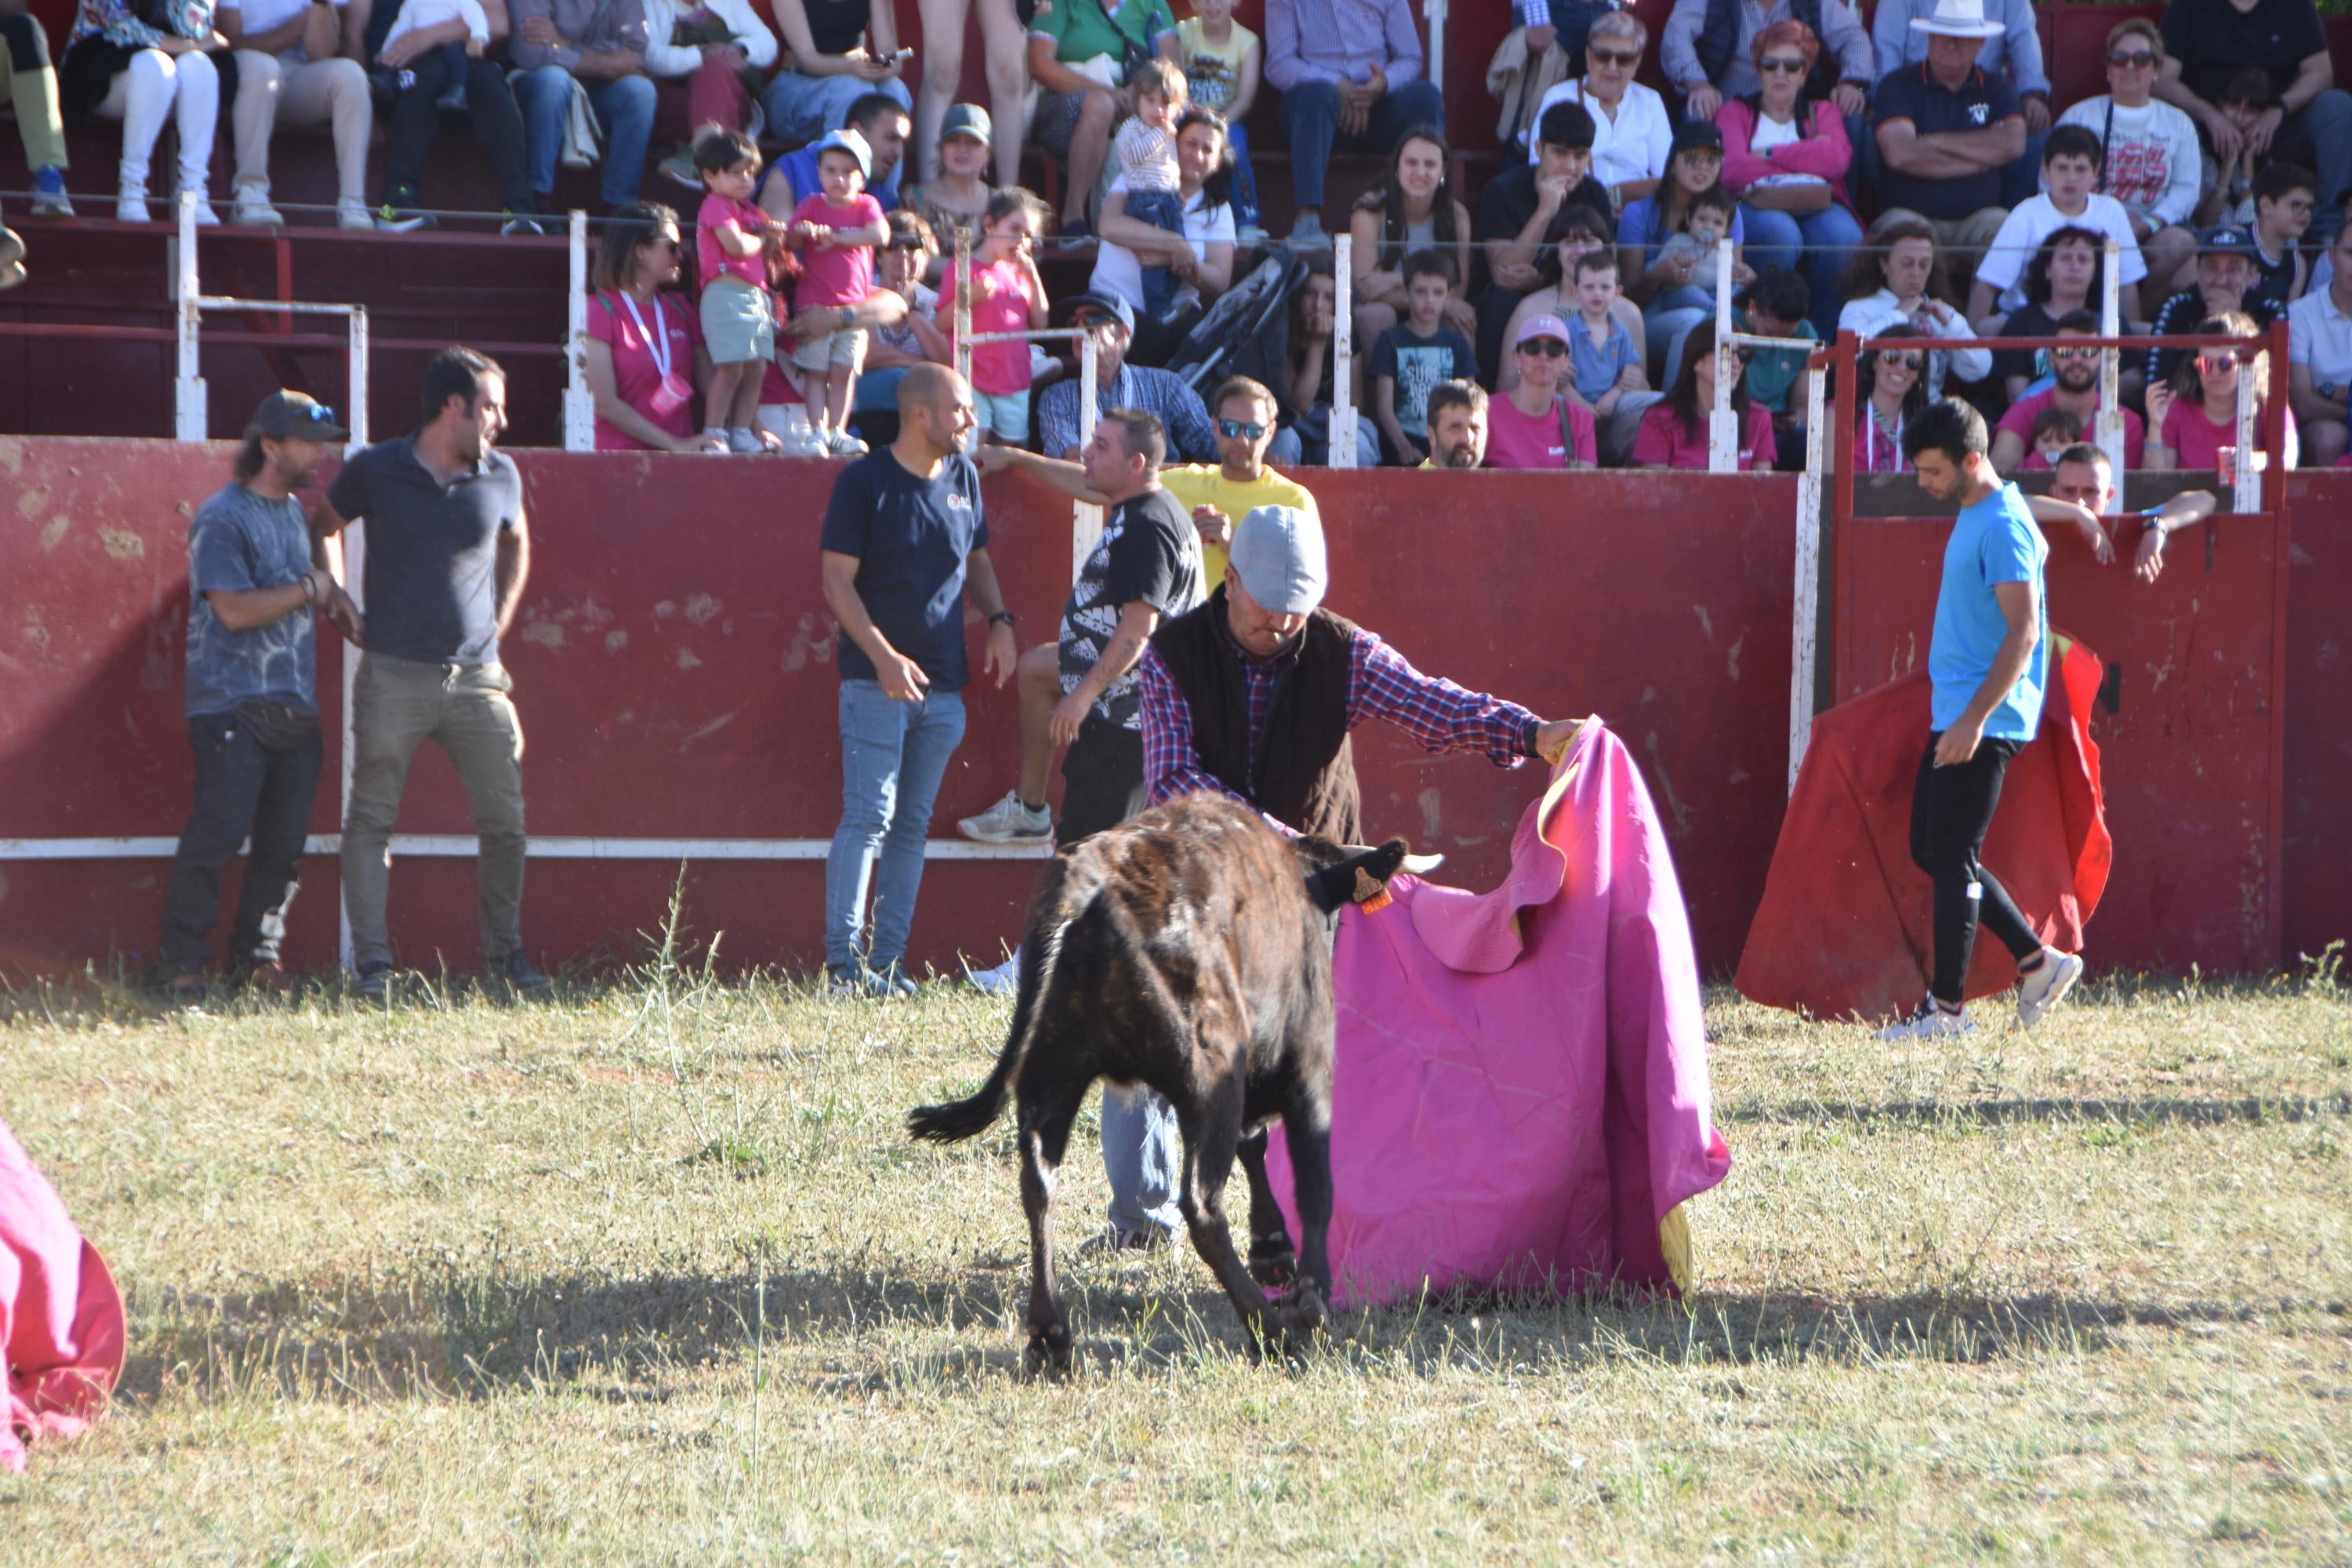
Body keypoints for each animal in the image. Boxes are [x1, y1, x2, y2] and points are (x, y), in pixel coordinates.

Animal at [903, 804, 1430, 1363]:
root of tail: (1086, 886)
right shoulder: (1306, 1063)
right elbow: (1313, 1180)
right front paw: (1311, 1296)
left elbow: (1255, 1145)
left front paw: (1272, 1249)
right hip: (1210, 1072)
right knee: (1201, 1205)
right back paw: (1273, 1333)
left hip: (1053, 1066)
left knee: (1040, 1182)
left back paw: (1052, 1337)